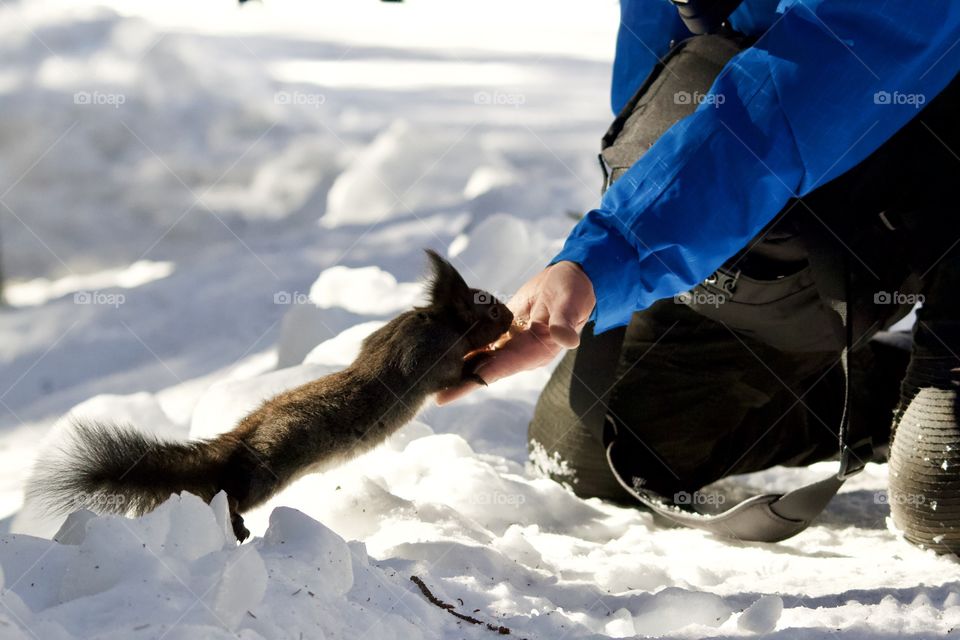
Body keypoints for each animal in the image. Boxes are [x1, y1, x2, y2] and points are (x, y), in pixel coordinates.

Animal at [28, 250, 513, 542]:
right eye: (488, 306)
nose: (511, 317)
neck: (441, 321)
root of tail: (236, 441)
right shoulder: (427, 357)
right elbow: (450, 376)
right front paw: (477, 367)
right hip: (266, 471)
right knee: (228, 494)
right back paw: (237, 524)